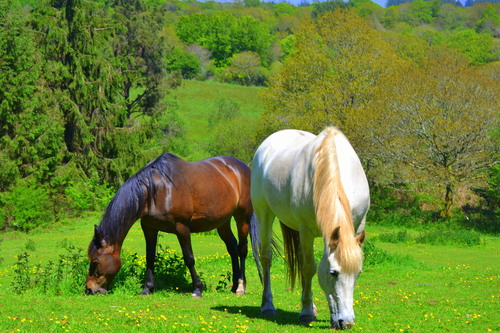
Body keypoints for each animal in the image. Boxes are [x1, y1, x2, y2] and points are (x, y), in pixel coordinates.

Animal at [85, 153, 254, 296]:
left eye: (95, 261)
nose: (89, 289)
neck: (158, 190)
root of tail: (243, 168)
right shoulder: (149, 228)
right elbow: (150, 257)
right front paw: (147, 288)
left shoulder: (182, 228)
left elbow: (189, 258)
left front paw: (197, 289)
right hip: (223, 222)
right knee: (232, 248)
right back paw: (233, 286)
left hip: (242, 217)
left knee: (242, 249)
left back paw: (241, 287)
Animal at [250, 126, 372, 328]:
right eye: (333, 273)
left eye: (358, 273)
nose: (346, 322)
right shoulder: (306, 229)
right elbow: (309, 268)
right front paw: (306, 312)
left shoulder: (354, 228)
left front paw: (312, 309)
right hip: (264, 213)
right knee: (266, 257)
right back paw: (268, 305)